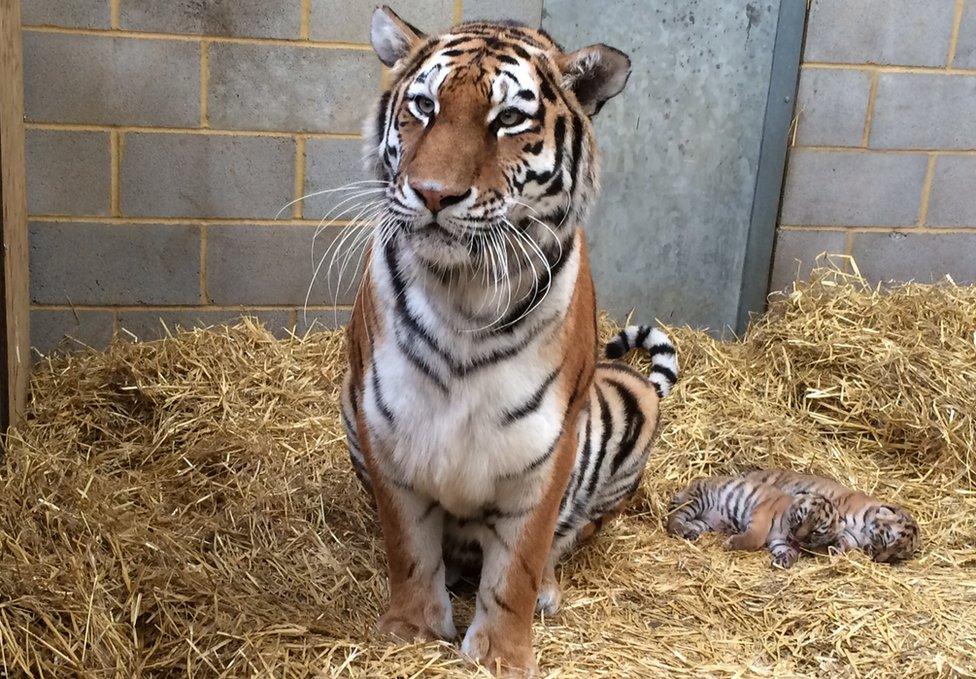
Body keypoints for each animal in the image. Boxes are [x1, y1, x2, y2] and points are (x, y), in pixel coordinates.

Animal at [340, 6, 676, 676]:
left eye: (509, 120)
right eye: (424, 106)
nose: (433, 193)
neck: (462, 292)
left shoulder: (548, 443)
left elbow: (519, 560)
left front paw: (500, 655)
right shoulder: (383, 420)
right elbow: (408, 546)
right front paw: (412, 632)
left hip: (628, 408)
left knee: (568, 538)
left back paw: (547, 589)